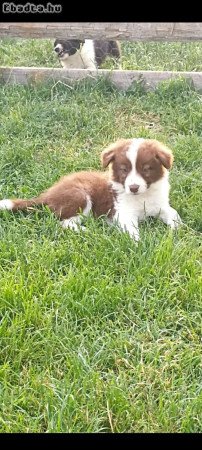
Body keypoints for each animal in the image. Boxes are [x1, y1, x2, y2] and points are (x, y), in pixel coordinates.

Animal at [0, 139, 181, 241]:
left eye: (146, 169)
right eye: (124, 170)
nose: (133, 187)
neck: (143, 195)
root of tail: (46, 195)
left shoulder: (160, 205)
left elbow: (174, 214)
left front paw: (177, 230)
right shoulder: (123, 213)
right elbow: (131, 229)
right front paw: (138, 243)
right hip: (80, 196)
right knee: (65, 223)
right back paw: (87, 231)